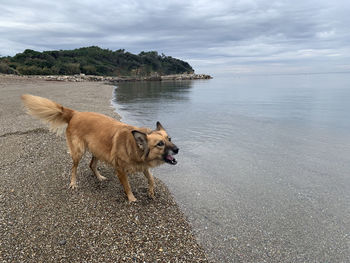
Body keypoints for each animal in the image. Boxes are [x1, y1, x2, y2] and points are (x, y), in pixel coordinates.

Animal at [20, 94, 179, 202]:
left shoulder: (143, 165)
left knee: (91, 165)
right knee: (73, 168)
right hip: (79, 152)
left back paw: (99, 177)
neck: (134, 145)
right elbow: (127, 186)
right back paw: (73, 182)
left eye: (169, 139)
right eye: (160, 144)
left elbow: (151, 179)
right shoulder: (120, 170)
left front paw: (151, 191)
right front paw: (132, 198)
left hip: (97, 149)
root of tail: (75, 114)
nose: (177, 149)